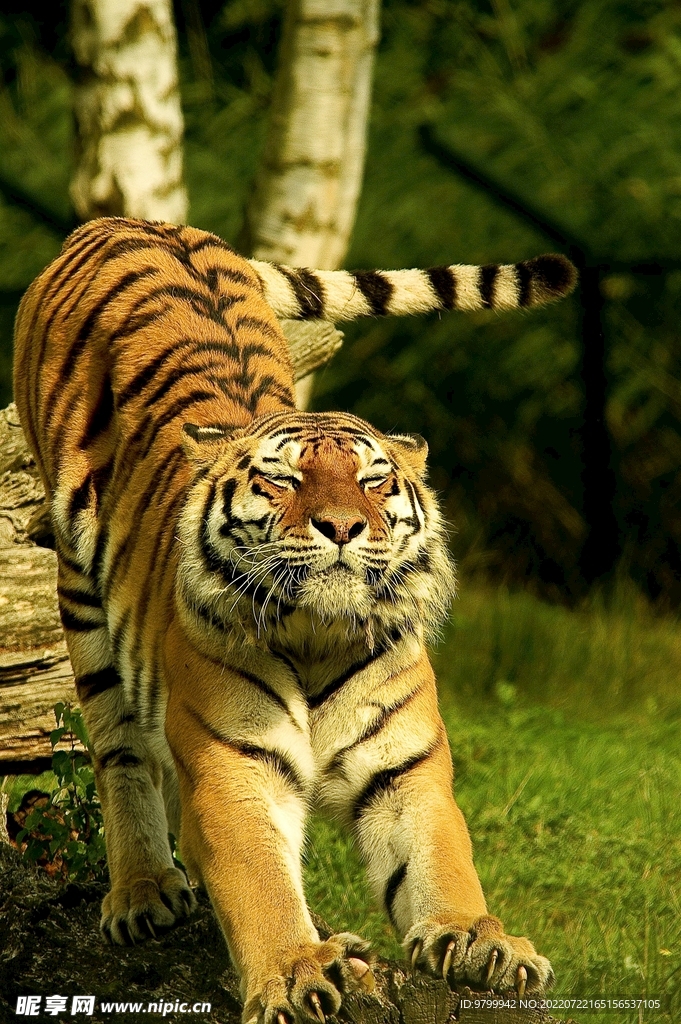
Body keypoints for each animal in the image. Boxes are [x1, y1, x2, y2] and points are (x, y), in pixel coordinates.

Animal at [13, 217, 575, 1024]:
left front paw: (482, 940)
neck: (317, 635)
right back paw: (143, 892)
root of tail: (128, 222)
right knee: (118, 750)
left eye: (374, 481)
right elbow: (259, 884)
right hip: (81, 594)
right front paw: (294, 970)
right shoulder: (233, 768)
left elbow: (442, 861)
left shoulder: (406, 772)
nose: (341, 525)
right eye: (283, 479)